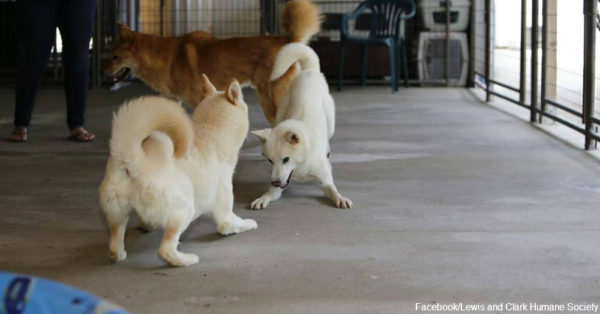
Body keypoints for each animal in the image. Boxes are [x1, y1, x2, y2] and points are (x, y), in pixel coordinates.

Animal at [99, 75, 258, 266]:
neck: (211, 135)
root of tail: (134, 160)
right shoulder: (224, 208)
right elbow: (232, 222)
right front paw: (248, 223)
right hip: (184, 211)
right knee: (165, 249)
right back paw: (186, 259)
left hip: (117, 215)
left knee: (114, 244)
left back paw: (119, 254)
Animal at [103, 0, 322, 123]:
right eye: (110, 53)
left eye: (115, 56)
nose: (101, 72)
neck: (168, 58)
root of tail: (287, 41)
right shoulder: (174, 100)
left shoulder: (198, 99)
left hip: (270, 98)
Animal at [248, 43, 352, 210]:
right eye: (270, 160)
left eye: (286, 159)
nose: (275, 182)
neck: (301, 163)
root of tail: (309, 71)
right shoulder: (279, 181)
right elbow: (269, 193)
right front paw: (261, 198)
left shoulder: (325, 181)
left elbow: (332, 189)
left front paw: (340, 198)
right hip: (281, 112)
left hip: (331, 125)